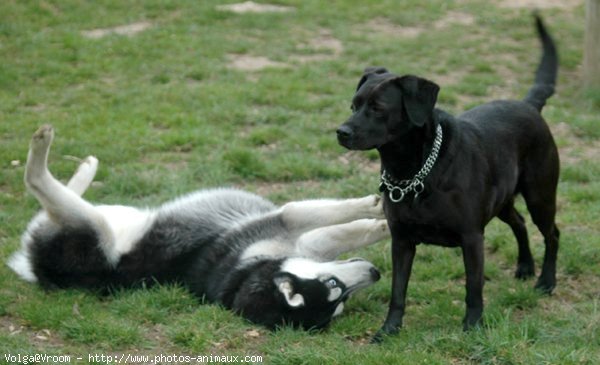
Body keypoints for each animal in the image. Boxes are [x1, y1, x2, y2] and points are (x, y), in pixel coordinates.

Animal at [338, 15, 556, 336]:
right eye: (353, 105)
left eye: (378, 108)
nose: (341, 132)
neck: (412, 172)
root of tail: (529, 105)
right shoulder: (401, 240)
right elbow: (397, 291)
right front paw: (389, 330)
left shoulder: (472, 237)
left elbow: (473, 289)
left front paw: (472, 327)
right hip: (503, 202)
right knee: (519, 223)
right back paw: (525, 267)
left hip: (540, 195)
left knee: (551, 233)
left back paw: (546, 281)